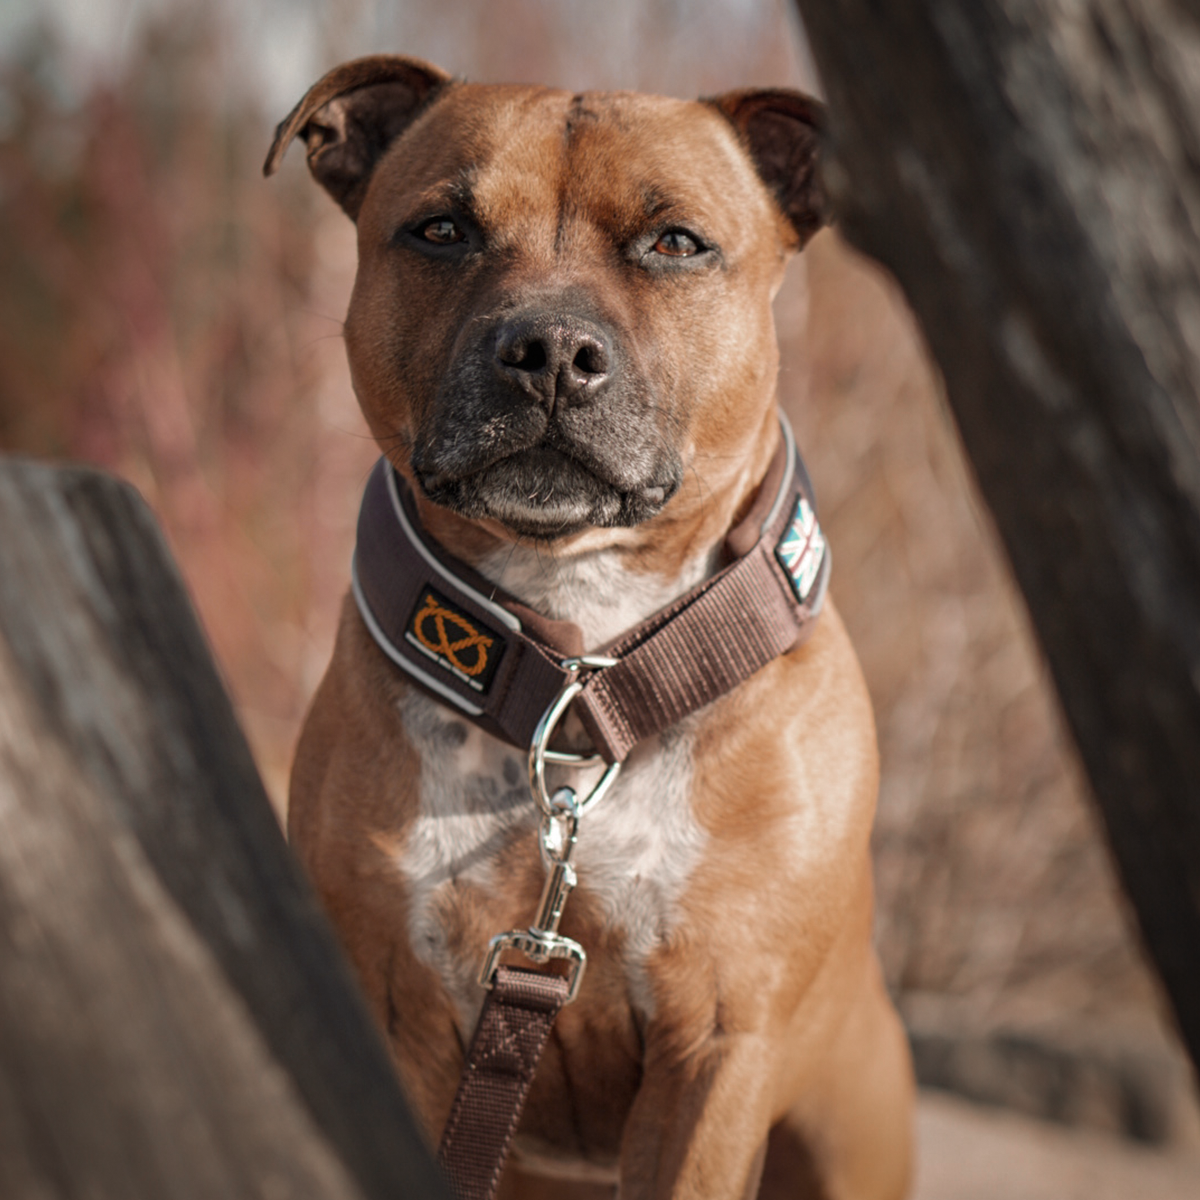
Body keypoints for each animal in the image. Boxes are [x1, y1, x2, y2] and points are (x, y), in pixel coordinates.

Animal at [267, 51, 912, 1195]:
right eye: (443, 229)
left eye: (676, 242)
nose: (552, 347)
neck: (580, 677)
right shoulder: (402, 1024)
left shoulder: (717, 1056)